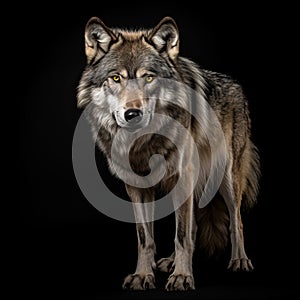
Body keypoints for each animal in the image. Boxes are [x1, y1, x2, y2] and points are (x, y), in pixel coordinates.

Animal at [77, 16, 260, 290]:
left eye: (148, 78)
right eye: (116, 78)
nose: (132, 114)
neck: (142, 143)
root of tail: (236, 85)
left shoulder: (182, 176)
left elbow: (181, 235)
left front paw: (182, 277)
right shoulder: (137, 186)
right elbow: (146, 237)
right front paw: (143, 275)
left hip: (226, 177)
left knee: (235, 220)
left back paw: (239, 261)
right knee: (193, 225)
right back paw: (172, 262)